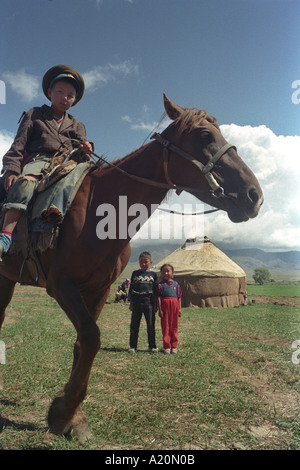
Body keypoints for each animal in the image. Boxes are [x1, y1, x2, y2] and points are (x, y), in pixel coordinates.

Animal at [0, 95, 262, 440]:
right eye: (204, 135)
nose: (254, 195)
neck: (101, 210)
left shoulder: (98, 288)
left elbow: (82, 344)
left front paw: (71, 417)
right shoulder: (61, 285)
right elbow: (92, 338)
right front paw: (64, 411)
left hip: (6, 278)